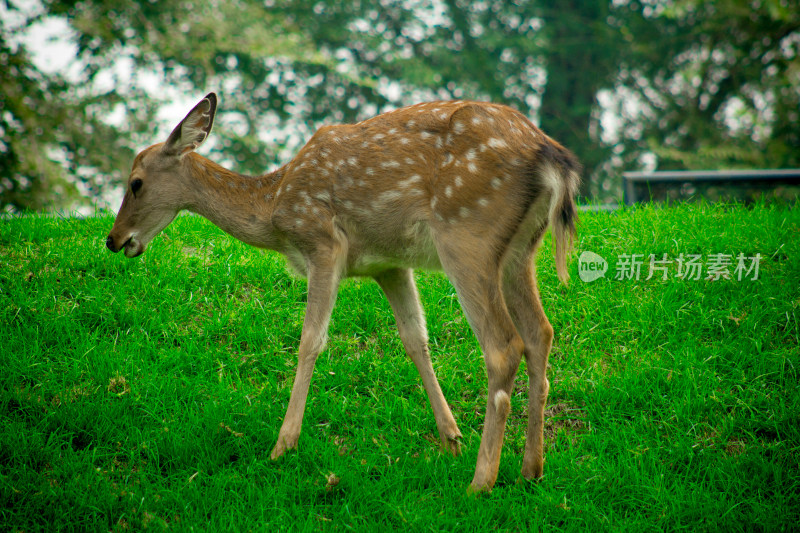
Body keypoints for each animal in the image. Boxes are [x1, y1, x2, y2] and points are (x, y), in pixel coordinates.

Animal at [108, 91, 580, 490]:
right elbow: (415, 339)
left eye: (136, 182)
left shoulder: (323, 243)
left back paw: (481, 482)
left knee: (503, 345)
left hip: (467, 234)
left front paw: (283, 445)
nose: (114, 240)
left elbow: (310, 340)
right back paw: (531, 469)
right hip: (520, 251)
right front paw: (450, 437)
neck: (275, 205)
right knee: (540, 333)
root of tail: (553, 158)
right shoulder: (389, 264)